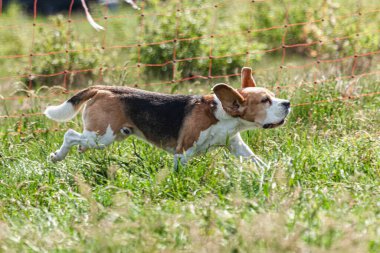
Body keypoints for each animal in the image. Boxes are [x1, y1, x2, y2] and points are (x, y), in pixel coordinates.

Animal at [44, 68, 290, 169]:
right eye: (265, 100)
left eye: (273, 96)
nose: (287, 104)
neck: (223, 115)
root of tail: (103, 89)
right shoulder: (183, 152)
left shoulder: (236, 145)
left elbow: (256, 161)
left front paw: (272, 173)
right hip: (102, 136)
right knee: (70, 135)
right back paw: (57, 156)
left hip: (107, 137)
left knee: (78, 141)